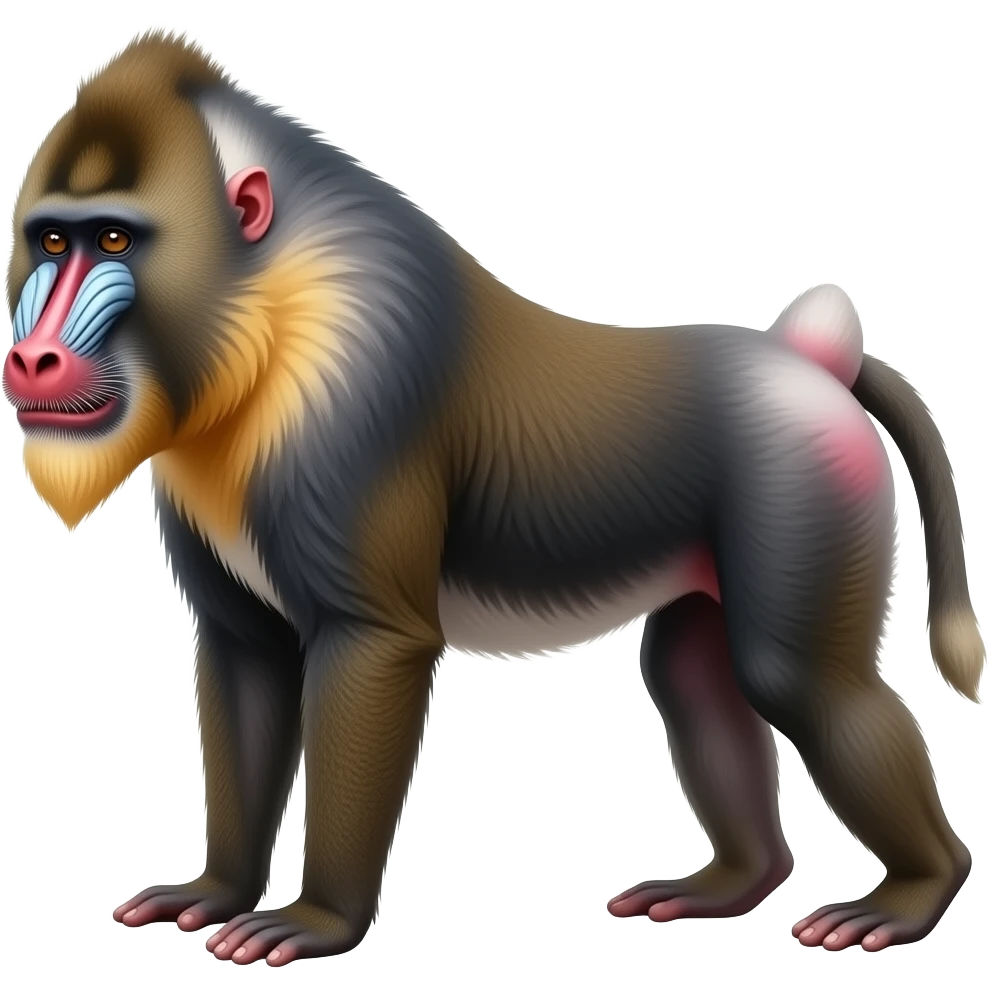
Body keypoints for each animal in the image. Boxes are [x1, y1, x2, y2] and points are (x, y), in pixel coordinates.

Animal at [2, 27, 984, 966]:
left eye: (115, 240)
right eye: (51, 241)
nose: (31, 357)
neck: (263, 314)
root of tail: (809, 359)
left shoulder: (353, 425)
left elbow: (374, 648)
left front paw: (317, 920)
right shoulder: (226, 579)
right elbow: (246, 657)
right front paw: (213, 892)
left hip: (798, 493)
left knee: (803, 680)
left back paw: (911, 894)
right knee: (691, 674)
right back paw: (731, 880)